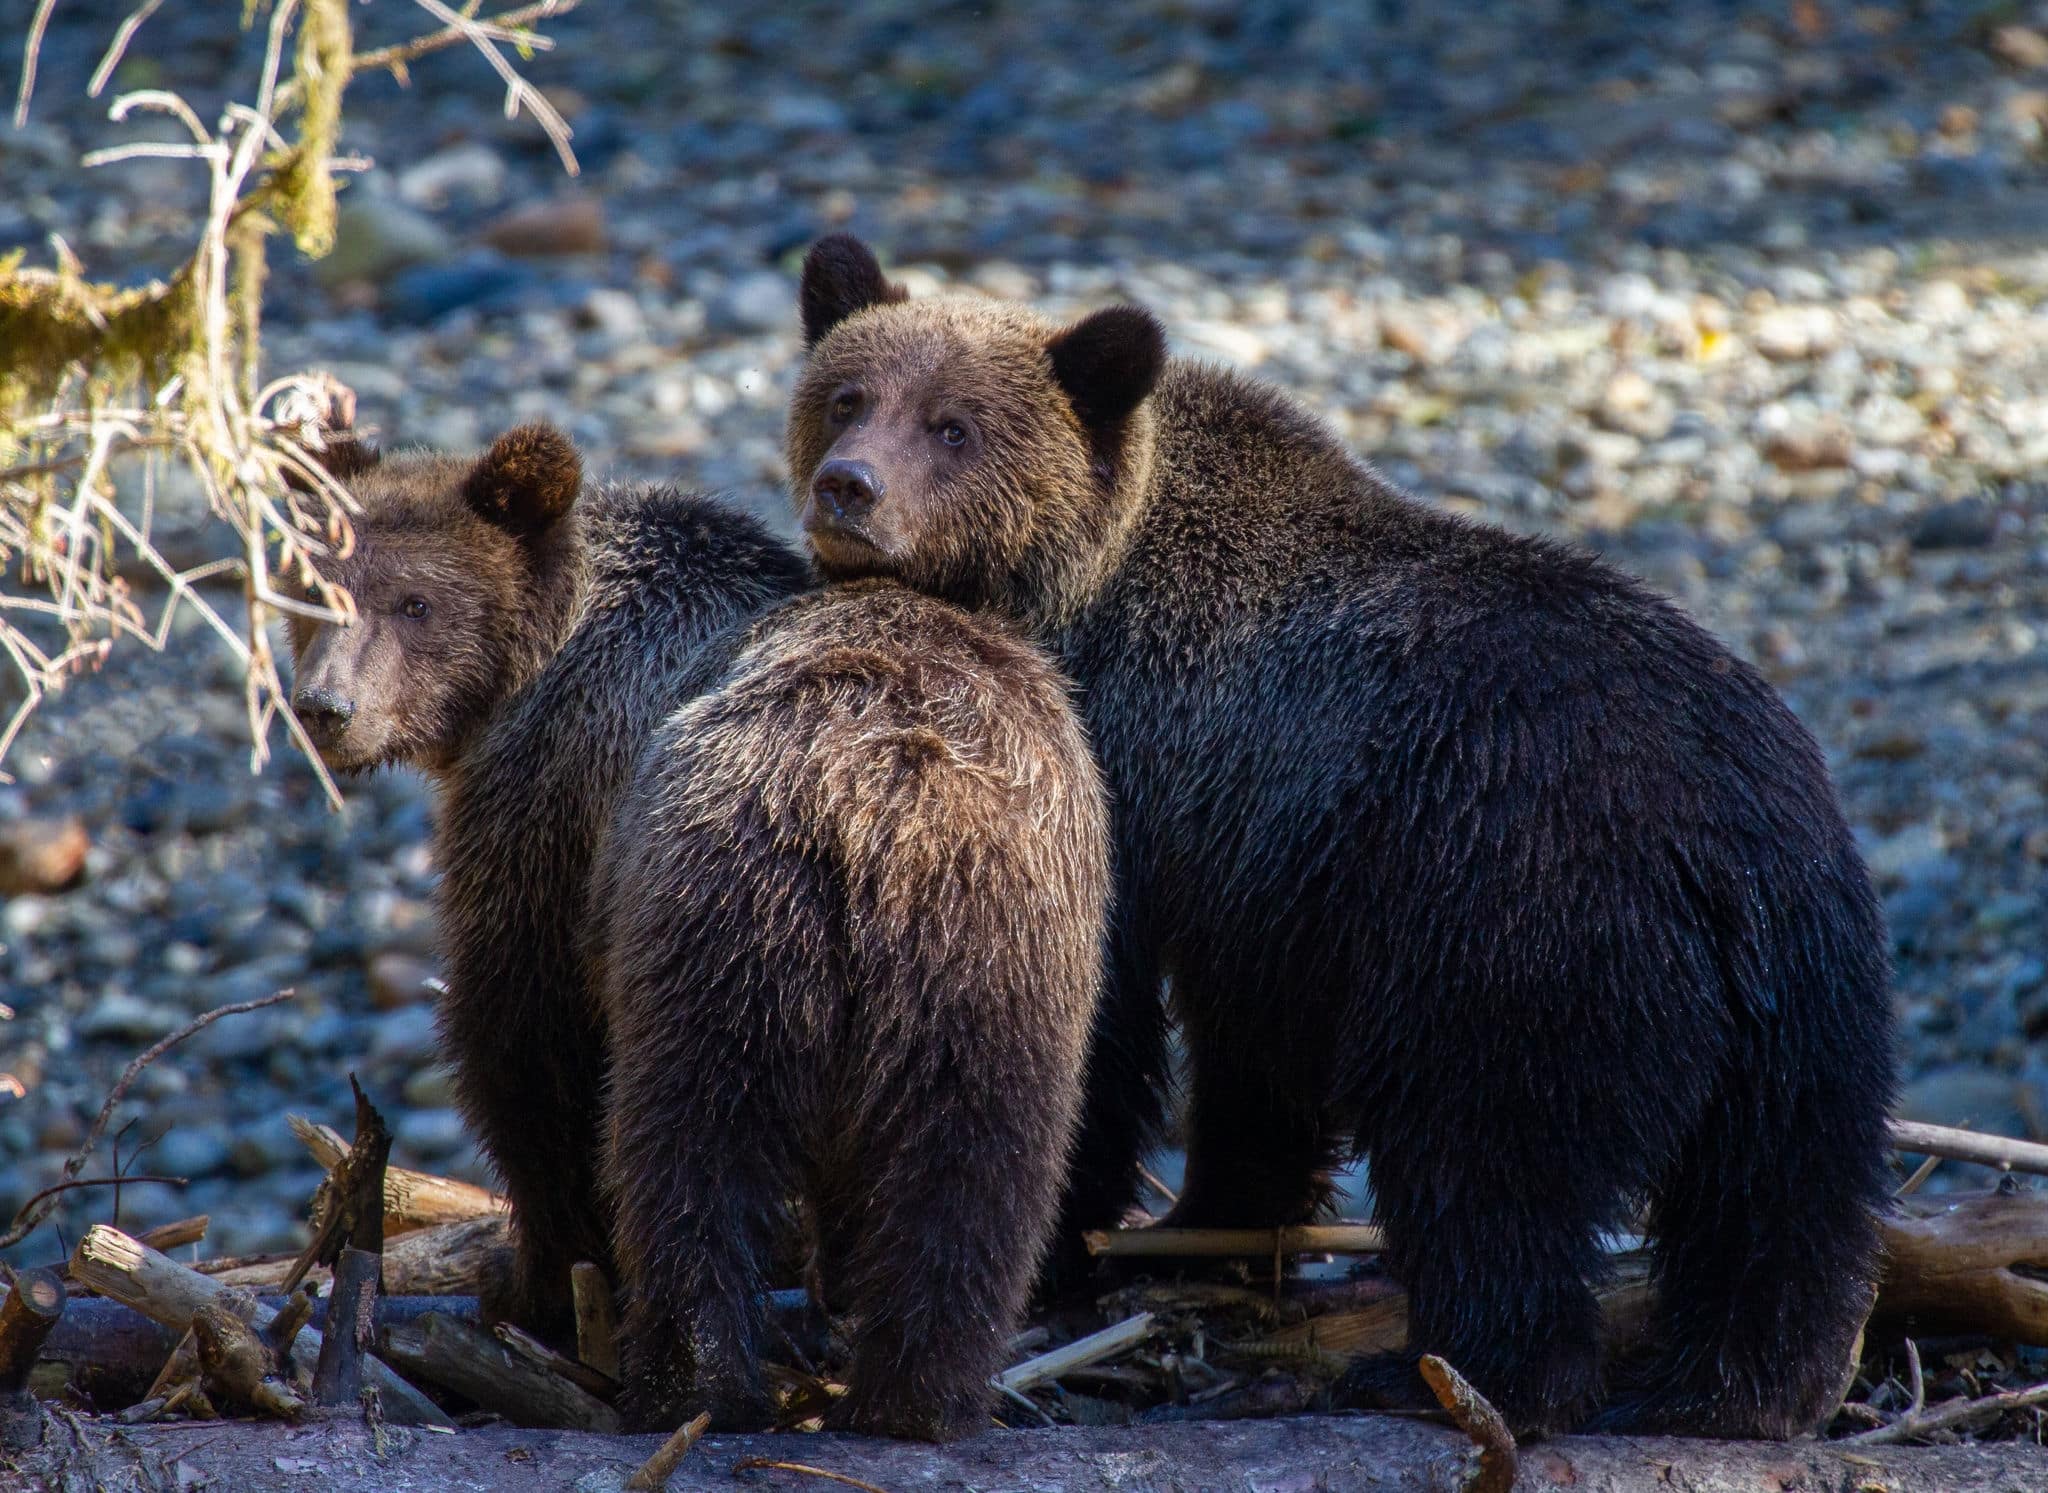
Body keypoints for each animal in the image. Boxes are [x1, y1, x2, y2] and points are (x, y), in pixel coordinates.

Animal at [287, 424, 810, 1336]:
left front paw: (529, 1276)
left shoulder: (547, 800)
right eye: (314, 589)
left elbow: (524, 1036)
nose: (327, 708)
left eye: (415, 602)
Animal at [595, 578, 1109, 1440]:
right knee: (968, 1178)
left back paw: (719, 1386)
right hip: (952, 959)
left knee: (697, 1149)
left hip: (756, 939)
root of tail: (865, 809)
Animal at [779, 235, 1898, 1439]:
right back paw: (1740, 1385)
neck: (1073, 588)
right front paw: (1206, 1231)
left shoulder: (1131, 790)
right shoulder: (1270, 870)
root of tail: (1720, 848)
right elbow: (1255, 1065)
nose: (849, 486)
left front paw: (1073, 1243)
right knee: (1783, 1194)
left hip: (1518, 925)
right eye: (846, 394)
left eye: (952, 425)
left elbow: (1096, 1026)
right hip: (1806, 993)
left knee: (1485, 1158)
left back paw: (1456, 1369)